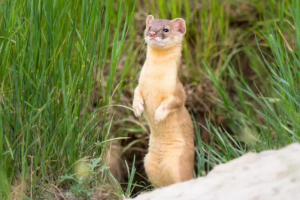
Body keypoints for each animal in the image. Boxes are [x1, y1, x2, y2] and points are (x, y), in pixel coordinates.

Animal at [133, 15, 195, 186]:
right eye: (149, 27)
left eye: (166, 29)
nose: (152, 33)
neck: (154, 82)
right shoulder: (140, 84)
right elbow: (136, 93)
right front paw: (137, 108)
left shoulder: (176, 90)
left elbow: (174, 102)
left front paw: (158, 114)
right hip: (148, 162)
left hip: (177, 163)